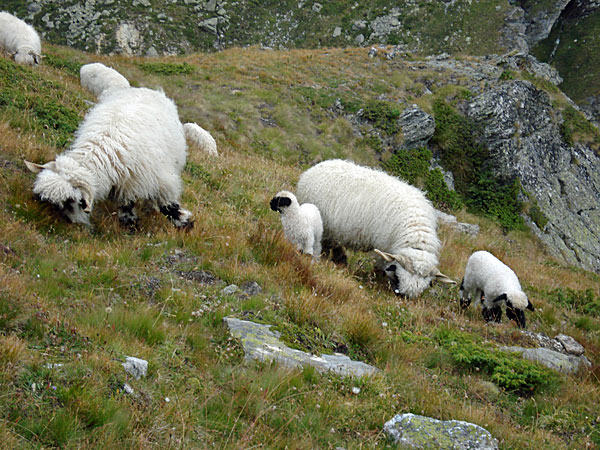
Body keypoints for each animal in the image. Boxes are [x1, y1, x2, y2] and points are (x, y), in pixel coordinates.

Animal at [23, 87, 209, 229]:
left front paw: (185, 224)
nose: (49, 222)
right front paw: (130, 224)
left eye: (69, 202)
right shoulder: (127, 184)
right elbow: (127, 205)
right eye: (41, 198)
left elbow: (168, 204)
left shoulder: (157, 179)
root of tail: (152, 90)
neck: (102, 151)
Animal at [296, 159, 454, 298]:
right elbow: (379, 265)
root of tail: (315, 167)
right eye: (397, 274)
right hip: (324, 225)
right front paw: (377, 281)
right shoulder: (384, 245)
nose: (401, 297)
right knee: (327, 244)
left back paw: (341, 261)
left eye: (426, 285)